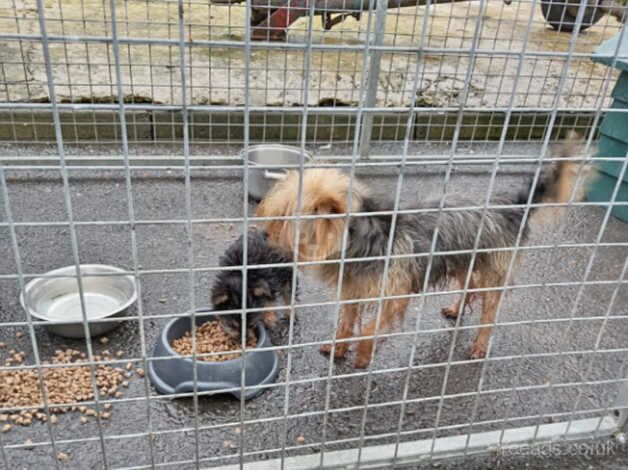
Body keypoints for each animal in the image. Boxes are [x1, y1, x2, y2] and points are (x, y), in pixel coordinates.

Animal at [255, 132, 588, 368]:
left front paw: (362, 356)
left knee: (489, 310)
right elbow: (347, 323)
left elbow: (369, 329)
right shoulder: (353, 291)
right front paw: (339, 346)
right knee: (470, 286)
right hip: (462, 261)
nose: (264, 233)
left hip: (493, 271)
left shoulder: (394, 295)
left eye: (284, 217)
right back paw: (456, 308)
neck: (364, 238)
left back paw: (480, 344)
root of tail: (513, 205)